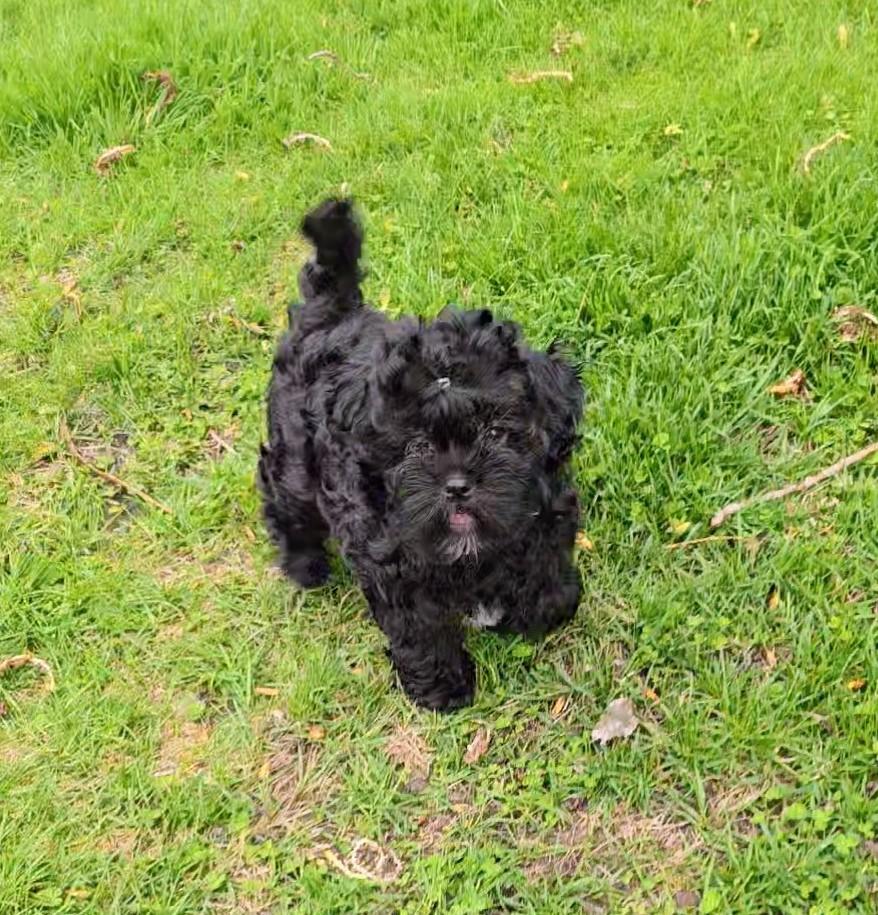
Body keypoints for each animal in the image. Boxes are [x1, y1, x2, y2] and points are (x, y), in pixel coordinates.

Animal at [258, 199, 583, 710]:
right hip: (295, 457)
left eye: (496, 431)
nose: (457, 486)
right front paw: (443, 689)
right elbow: (420, 631)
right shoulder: (391, 563)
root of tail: (328, 314)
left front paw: (526, 613)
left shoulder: (548, 514)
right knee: (284, 499)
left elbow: (550, 585)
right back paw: (304, 566)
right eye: (416, 446)